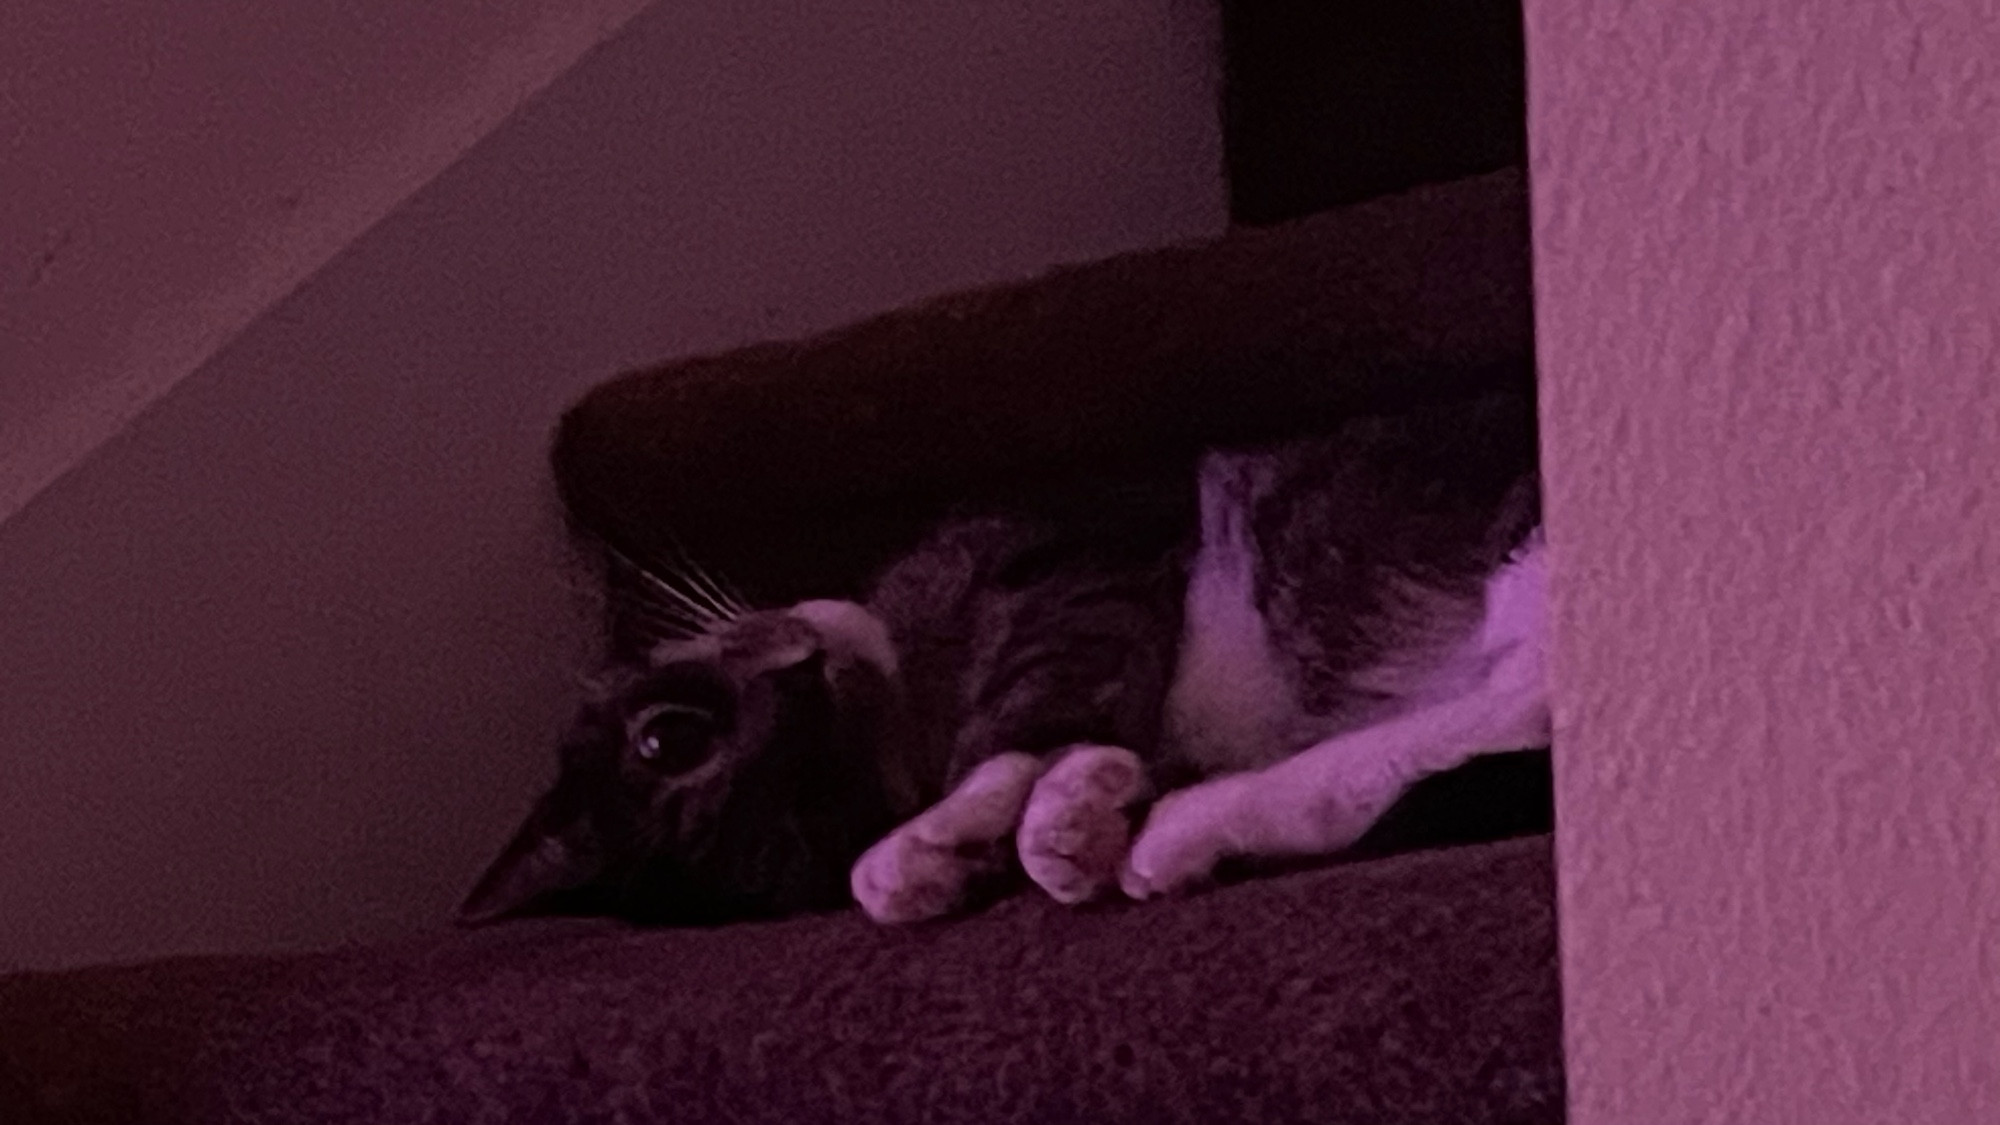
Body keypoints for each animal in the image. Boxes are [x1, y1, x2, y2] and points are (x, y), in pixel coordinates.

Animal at [458, 390, 1544, 924]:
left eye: (669, 739)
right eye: (807, 807)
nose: (805, 681)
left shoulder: (1084, 563)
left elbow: (1023, 706)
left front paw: (997, 817)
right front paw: (1007, 839)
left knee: (1523, 699)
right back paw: (1186, 830)